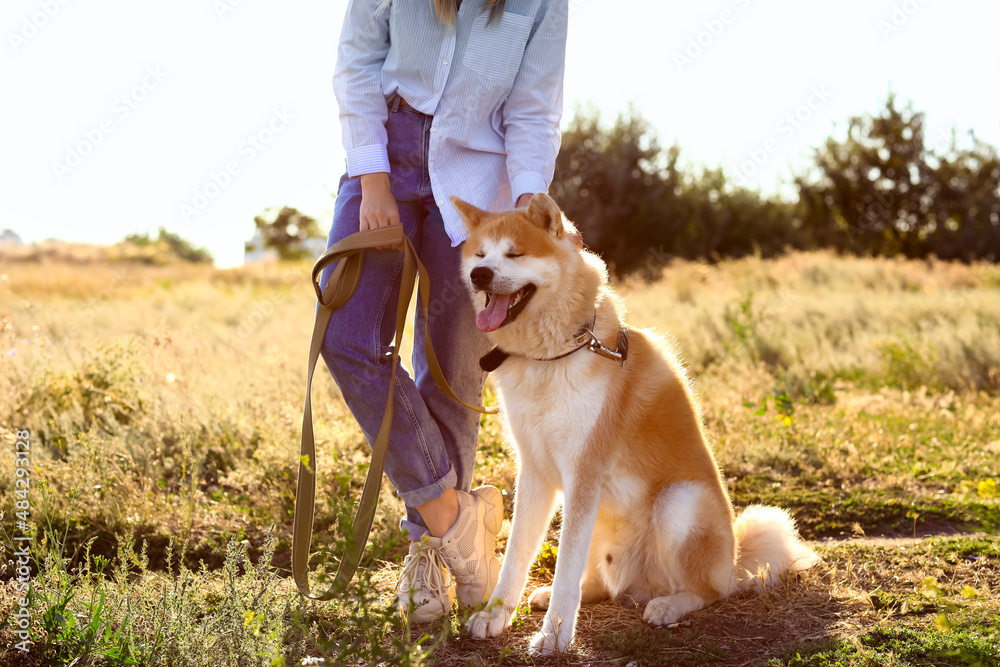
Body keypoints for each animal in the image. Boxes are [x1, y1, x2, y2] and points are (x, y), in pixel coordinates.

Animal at [454, 193, 820, 656]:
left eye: (514, 254)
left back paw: (670, 605)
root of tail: (735, 562)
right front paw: (495, 615)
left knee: (710, 592)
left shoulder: (583, 473)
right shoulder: (536, 472)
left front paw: (554, 637)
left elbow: (565, 569)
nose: (480, 275)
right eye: (480, 255)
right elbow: (518, 554)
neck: (555, 354)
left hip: (678, 502)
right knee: (597, 581)